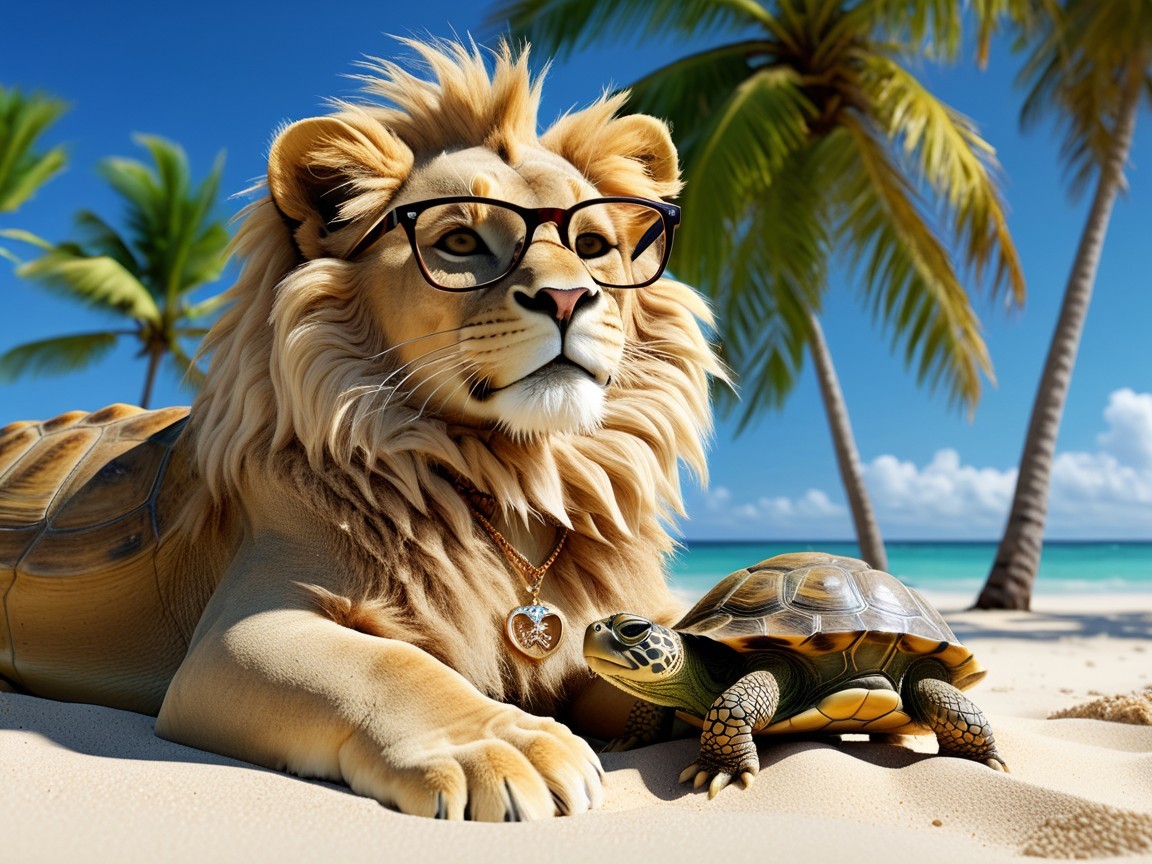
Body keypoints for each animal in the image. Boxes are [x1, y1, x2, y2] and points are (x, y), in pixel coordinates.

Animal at [0, 41, 723, 821]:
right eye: (459, 239)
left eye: (592, 244)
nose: (567, 297)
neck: (520, 483)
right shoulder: (236, 635)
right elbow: (390, 664)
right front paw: (510, 748)